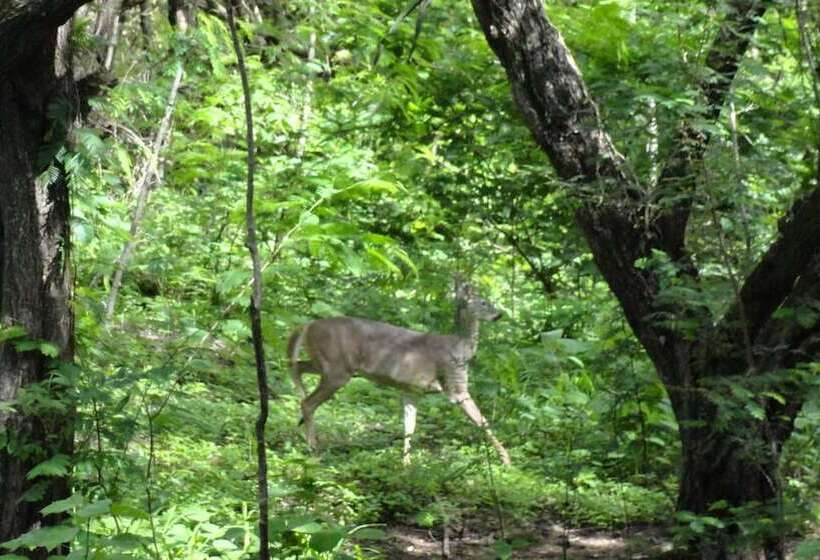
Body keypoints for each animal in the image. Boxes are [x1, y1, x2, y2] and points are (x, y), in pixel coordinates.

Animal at [286, 278, 510, 466]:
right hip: (337, 370)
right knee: (307, 401)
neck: (461, 348)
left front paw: (406, 464)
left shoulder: (412, 390)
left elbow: (409, 427)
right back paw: (313, 448)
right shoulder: (456, 385)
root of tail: (307, 325)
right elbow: (482, 421)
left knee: (296, 365)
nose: (499, 314)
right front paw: (506, 460)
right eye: (483, 302)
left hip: (326, 364)